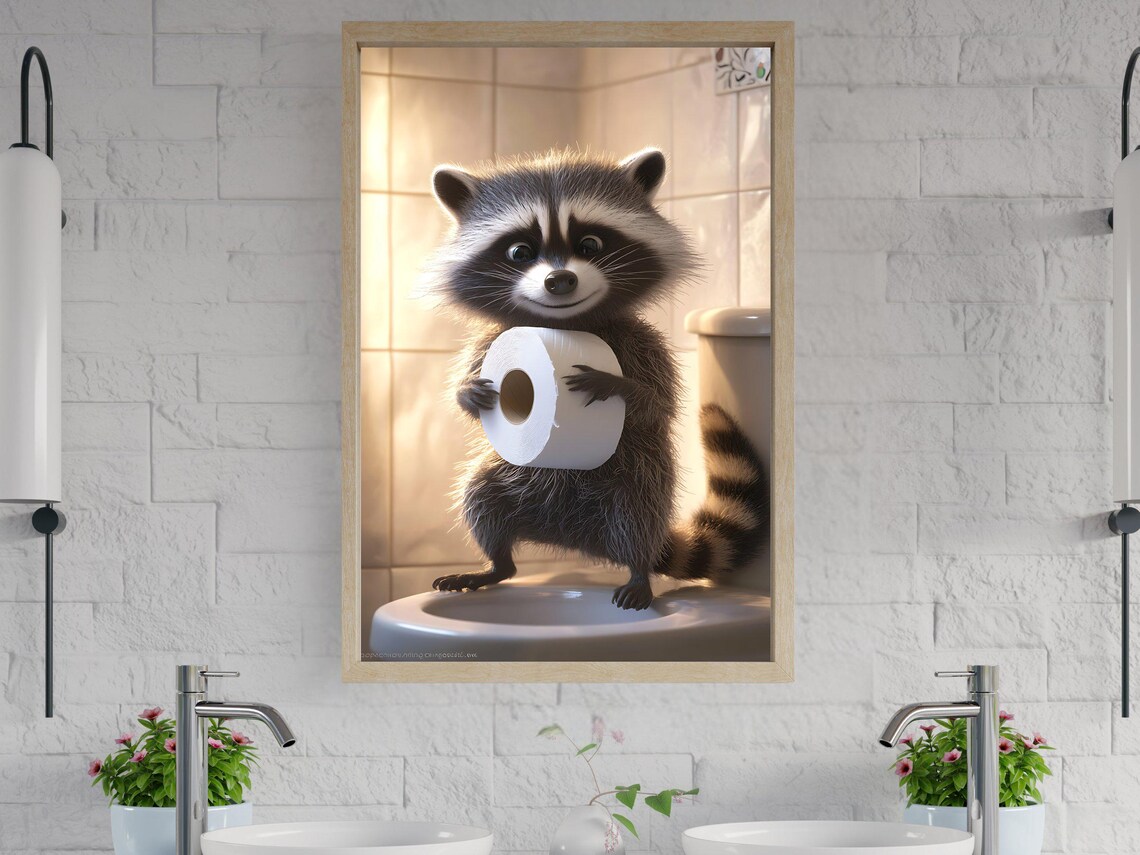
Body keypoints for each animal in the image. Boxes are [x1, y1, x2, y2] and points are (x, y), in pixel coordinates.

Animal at [425, 147, 768, 610]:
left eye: (590, 244)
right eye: (520, 251)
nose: (559, 281)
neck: (569, 324)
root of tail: (577, 542)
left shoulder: (643, 343)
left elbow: (657, 402)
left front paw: (619, 386)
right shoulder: (492, 340)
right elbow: (470, 383)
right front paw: (467, 393)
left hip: (639, 476)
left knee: (636, 514)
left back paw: (638, 570)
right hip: (510, 476)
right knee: (482, 496)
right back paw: (496, 563)